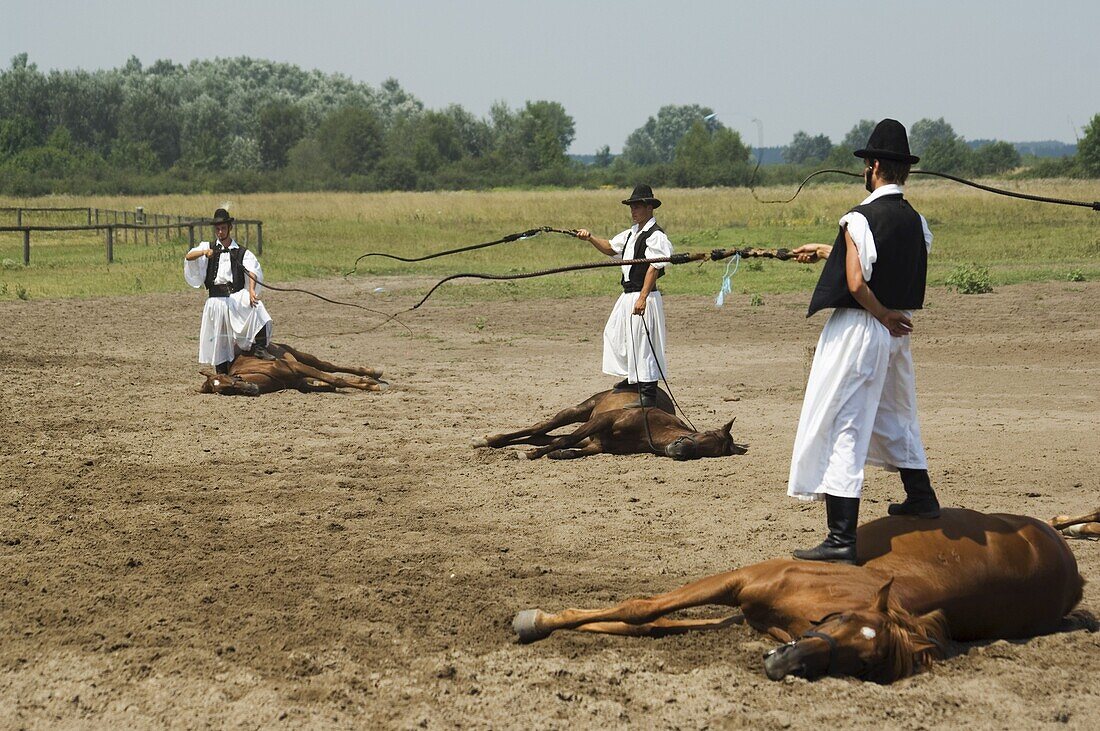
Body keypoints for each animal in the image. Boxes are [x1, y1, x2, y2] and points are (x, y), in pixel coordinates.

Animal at [200, 342, 389, 395]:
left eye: (228, 378)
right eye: (222, 391)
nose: (251, 389)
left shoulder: (297, 366)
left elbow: (336, 379)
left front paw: (372, 386)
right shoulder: (300, 383)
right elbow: (329, 384)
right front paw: (367, 384)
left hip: (299, 355)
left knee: (327, 366)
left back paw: (372, 373)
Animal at [473, 384, 748, 459]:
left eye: (709, 452)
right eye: (705, 435)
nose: (679, 451)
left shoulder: (598, 444)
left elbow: (567, 447)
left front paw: (554, 454)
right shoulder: (603, 420)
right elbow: (565, 440)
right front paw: (530, 456)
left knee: (539, 436)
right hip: (580, 410)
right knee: (542, 428)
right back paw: (487, 441)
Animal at [512, 507, 1082, 685]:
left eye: (866, 665)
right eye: (843, 623)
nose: (784, 665)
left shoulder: (747, 611)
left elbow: (649, 622)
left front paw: (555, 622)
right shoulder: (741, 581)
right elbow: (644, 610)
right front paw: (537, 620)